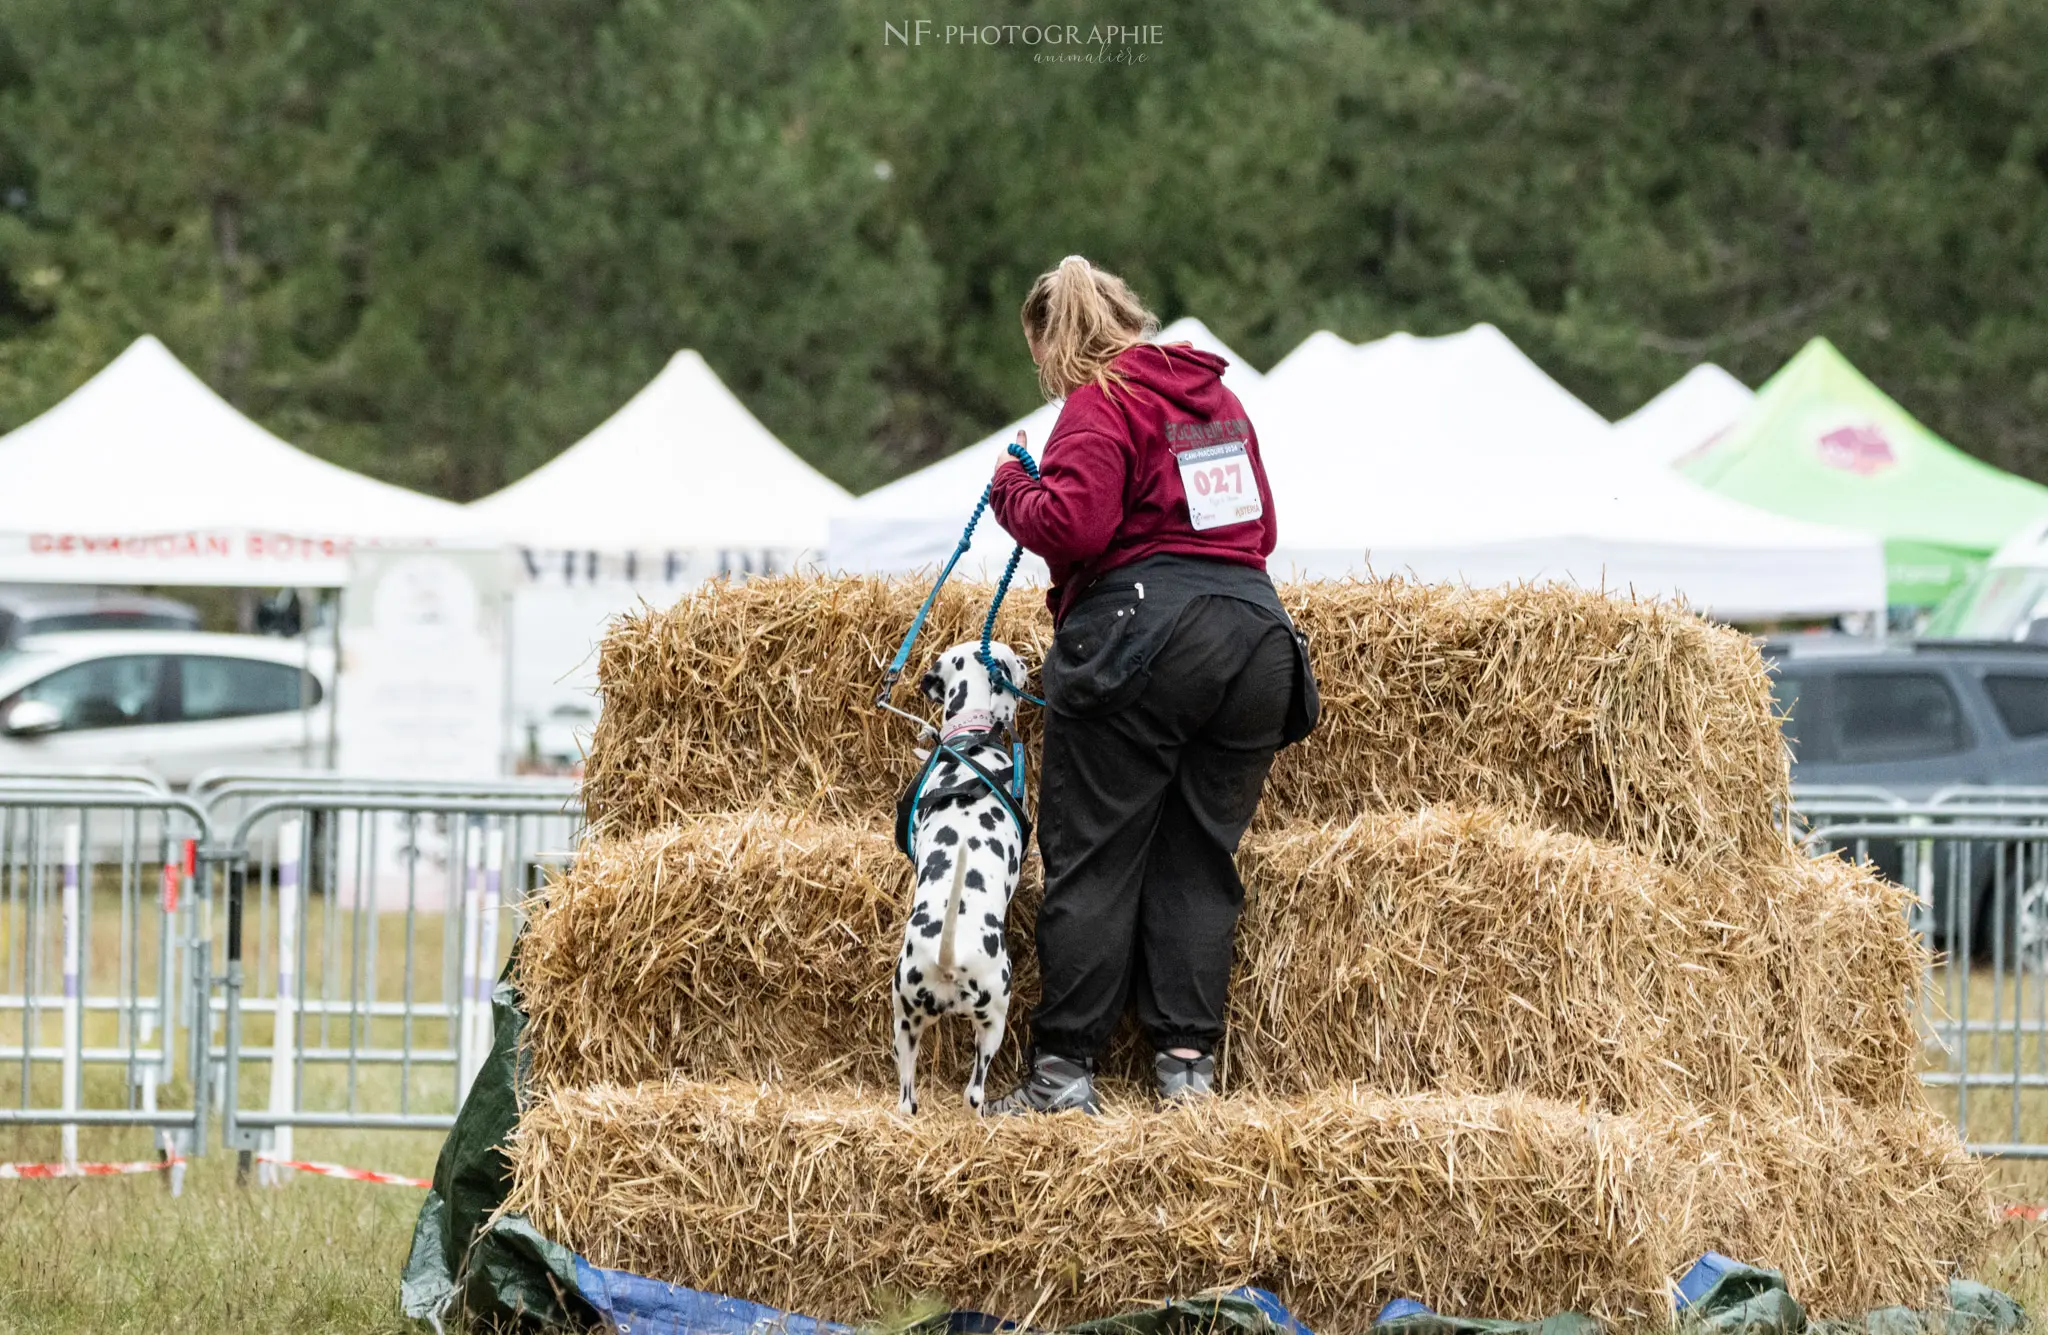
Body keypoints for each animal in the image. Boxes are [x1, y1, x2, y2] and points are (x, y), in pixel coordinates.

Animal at [892, 638, 1032, 1113]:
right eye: (1015, 661)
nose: (1029, 663)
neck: (969, 740)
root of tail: (947, 959)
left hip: (905, 1024)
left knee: (907, 1100)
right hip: (994, 1019)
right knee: (974, 1092)